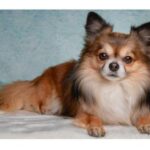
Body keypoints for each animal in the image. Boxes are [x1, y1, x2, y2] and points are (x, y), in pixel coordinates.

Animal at [0, 11, 150, 137]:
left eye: (128, 59)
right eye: (103, 56)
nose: (114, 65)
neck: (114, 87)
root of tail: (34, 80)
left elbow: (145, 115)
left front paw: (146, 124)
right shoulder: (83, 112)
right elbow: (93, 117)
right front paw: (96, 127)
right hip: (46, 96)